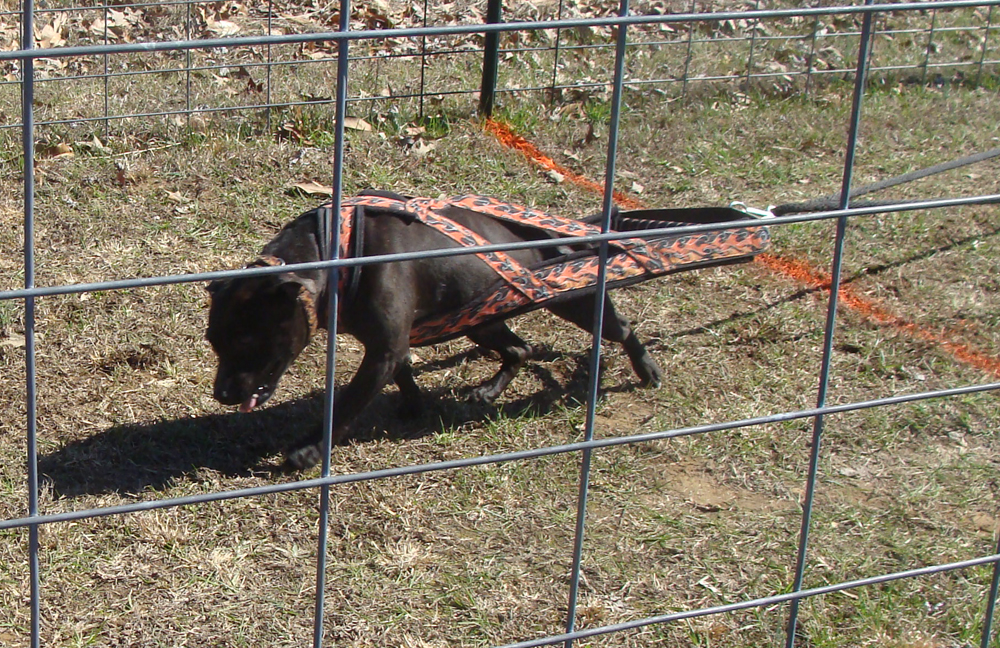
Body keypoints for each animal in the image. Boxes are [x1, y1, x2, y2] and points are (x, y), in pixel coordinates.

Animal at [206, 190, 660, 468]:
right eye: (213, 342)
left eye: (247, 339)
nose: (222, 394)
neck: (334, 252)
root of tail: (563, 228)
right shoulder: (392, 346)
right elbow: (405, 373)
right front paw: (415, 406)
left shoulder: (383, 350)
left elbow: (346, 406)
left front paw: (309, 449)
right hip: (482, 317)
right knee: (519, 349)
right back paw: (488, 391)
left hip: (573, 300)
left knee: (621, 329)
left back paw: (647, 369)